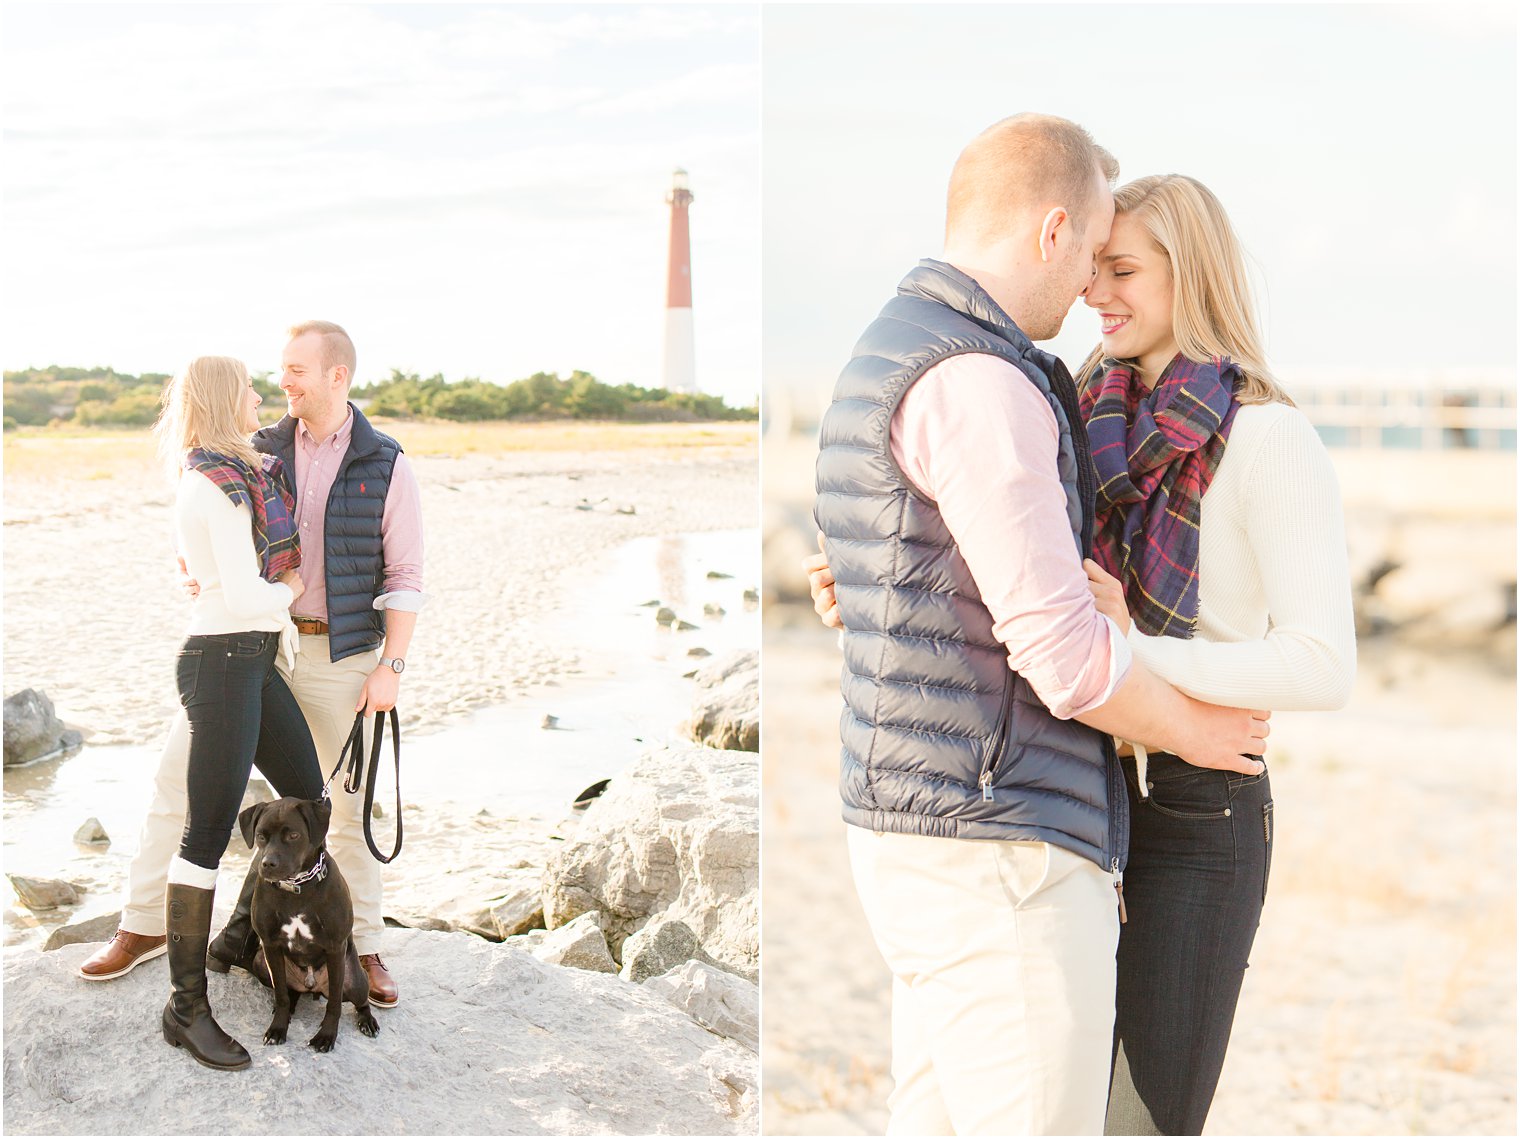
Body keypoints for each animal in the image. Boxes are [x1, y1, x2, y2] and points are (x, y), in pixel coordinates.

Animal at [238, 790, 383, 1046]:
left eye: (293, 835)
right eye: (260, 836)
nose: (267, 864)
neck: (297, 887)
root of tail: (312, 986)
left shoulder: (335, 948)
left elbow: (334, 1003)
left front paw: (326, 1036)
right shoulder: (270, 946)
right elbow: (281, 995)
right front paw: (277, 1028)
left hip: (355, 978)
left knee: (360, 1001)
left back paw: (367, 1021)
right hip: (261, 963)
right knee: (289, 992)